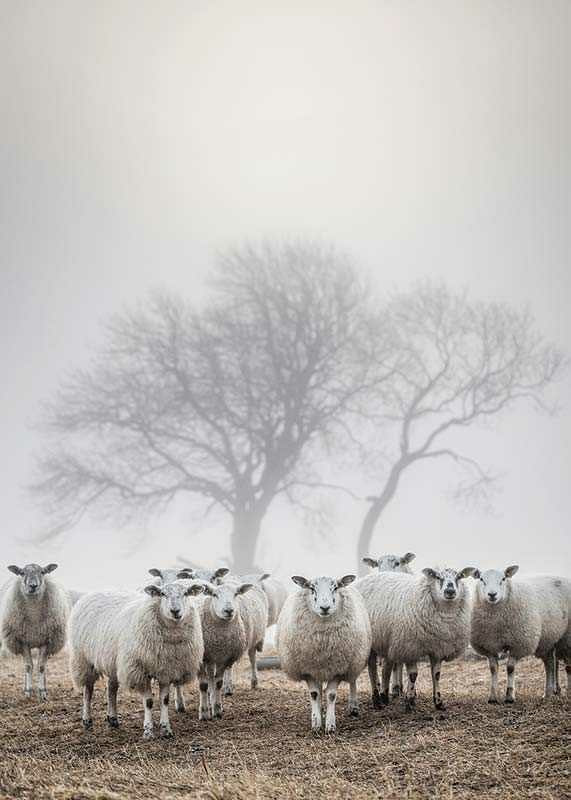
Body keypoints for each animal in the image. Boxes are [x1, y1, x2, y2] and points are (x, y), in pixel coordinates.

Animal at [0, 563, 70, 700]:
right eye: (22, 573)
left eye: (43, 572)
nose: (33, 585)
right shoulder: (23, 642)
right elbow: (28, 666)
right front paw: (28, 691)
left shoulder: (46, 641)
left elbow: (41, 666)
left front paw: (42, 692)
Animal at [68, 576, 204, 739]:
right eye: (163, 594)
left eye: (186, 593)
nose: (175, 611)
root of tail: (94, 592)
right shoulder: (140, 670)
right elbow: (149, 702)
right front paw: (148, 731)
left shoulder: (166, 670)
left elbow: (164, 700)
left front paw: (166, 729)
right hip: (84, 660)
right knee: (88, 690)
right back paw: (87, 720)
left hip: (114, 661)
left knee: (111, 689)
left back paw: (113, 719)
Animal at [276, 575, 372, 733]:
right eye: (312, 588)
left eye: (335, 587)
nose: (325, 608)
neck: (322, 642)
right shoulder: (307, 669)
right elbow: (315, 694)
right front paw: (316, 723)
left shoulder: (339, 668)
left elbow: (331, 695)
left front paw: (330, 725)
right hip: (318, 668)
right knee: (320, 690)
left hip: (354, 661)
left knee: (352, 681)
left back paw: (353, 707)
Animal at [356, 566, 474, 710]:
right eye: (437, 577)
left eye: (459, 577)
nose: (450, 591)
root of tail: (365, 579)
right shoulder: (410, 648)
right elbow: (413, 675)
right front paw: (410, 701)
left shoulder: (438, 648)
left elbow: (436, 675)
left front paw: (438, 702)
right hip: (372, 642)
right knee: (372, 669)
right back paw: (377, 700)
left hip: (388, 640)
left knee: (386, 668)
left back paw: (384, 696)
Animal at [470, 566, 571, 703]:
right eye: (481, 579)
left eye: (503, 579)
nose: (492, 595)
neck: (496, 622)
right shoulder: (488, 646)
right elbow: (493, 669)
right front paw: (493, 697)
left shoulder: (518, 644)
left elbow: (510, 668)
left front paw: (509, 696)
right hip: (547, 639)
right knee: (550, 664)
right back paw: (548, 693)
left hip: (567, 638)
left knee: (567, 665)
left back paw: (566, 692)